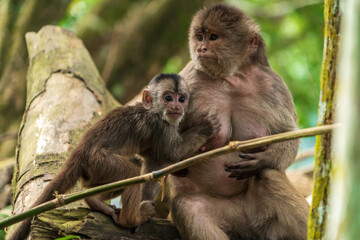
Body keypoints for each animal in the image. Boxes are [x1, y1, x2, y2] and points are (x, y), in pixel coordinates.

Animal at [9, 73, 219, 240]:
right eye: (168, 98)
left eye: (182, 99)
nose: (177, 107)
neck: (153, 111)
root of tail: (81, 150)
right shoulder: (161, 125)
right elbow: (174, 152)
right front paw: (205, 128)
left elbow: (153, 162)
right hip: (100, 162)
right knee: (131, 171)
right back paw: (130, 219)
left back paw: (95, 201)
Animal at [170, 4, 310, 240]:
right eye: (200, 37)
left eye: (213, 37)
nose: (201, 48)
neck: (232, 79)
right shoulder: (190, 78)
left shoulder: (274, 85)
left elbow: (288, 134)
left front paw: (265, 158)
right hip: (237, 219)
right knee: (188, 207)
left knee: (267, 176)